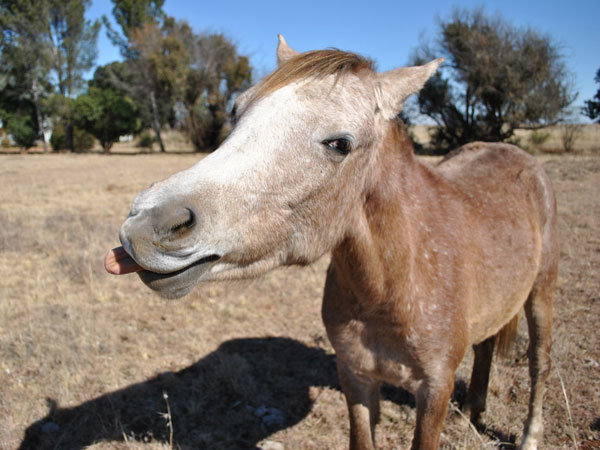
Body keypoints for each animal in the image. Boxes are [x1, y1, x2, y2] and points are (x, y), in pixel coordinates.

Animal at [104, 36, 556, 450]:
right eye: (236, 110)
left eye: (340, 144)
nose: (148, 221)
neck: (395, 285)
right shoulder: (354, 377)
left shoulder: (435, 390)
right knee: (486, 347)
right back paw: (473, 412)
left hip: (540, 295)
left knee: (539, 364)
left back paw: (529, 437)